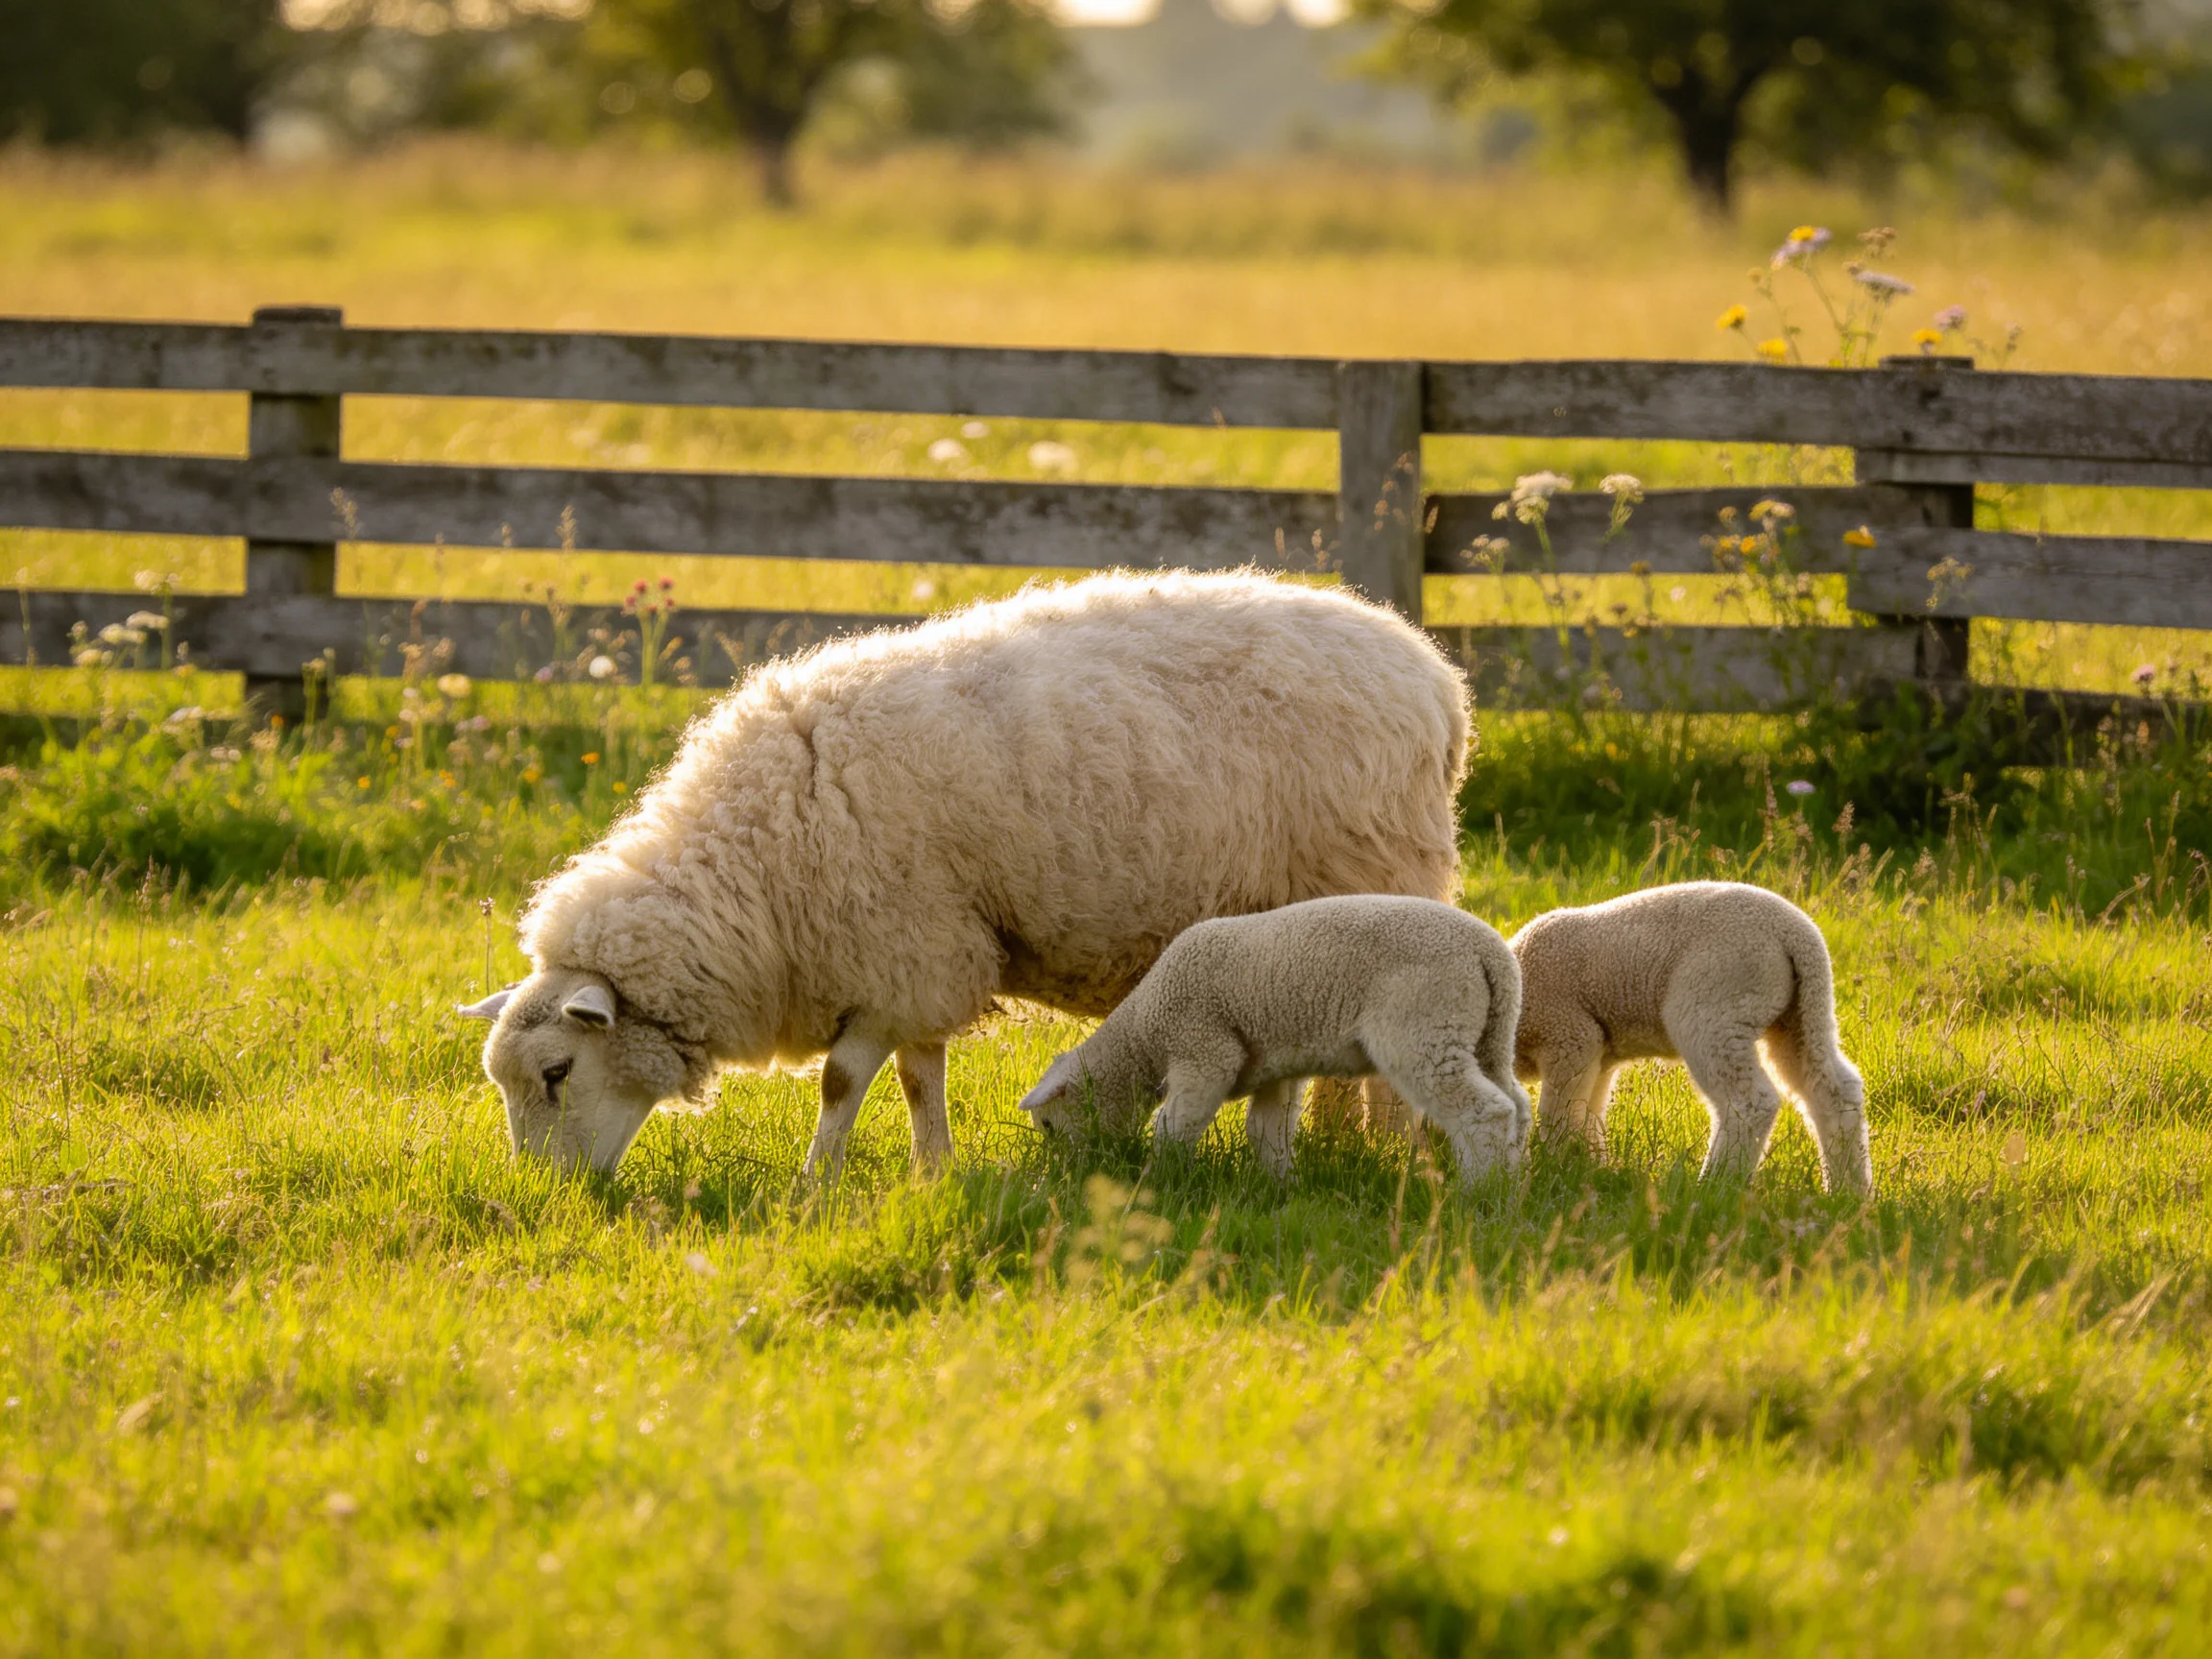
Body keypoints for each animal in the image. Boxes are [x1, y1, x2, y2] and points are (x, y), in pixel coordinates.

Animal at [460, 569, 1471, 1177]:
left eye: (556, 1072)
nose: (551, 1198)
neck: (756, 868)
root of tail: (1434, 678)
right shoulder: (917, 960)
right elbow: (918, 1077)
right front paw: (931, 1172)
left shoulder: (900, 947)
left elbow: (841, 1083)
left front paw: (816, 1184)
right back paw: (1338, 1145)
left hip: (1379, 879)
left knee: (1388, 1066)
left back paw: (1390, 1155)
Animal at [1019, 896, 1532, 1184]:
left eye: (1048, 1126)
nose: (1063, 1172)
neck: (1145, 1030)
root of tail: (1490, 952)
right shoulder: (1271, 1065)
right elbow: (1267, 1130)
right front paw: (1280, 1185)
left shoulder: (1204, 1048)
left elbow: (1176, 1123)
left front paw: (1155, 1178)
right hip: (1488, 1033)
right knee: (1517, 1103)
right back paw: (1513, 1183)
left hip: (1424, 1025)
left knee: (1484, 1111)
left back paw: (1478, 1191)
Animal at [1508, 881, 1872, 1194]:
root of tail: (1794, 933)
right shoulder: (1600, 1052)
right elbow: (1589, 1115)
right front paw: (1590, 1167)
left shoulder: (1570, 1035)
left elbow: (1558, 1115)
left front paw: (1553, 1168)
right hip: (1802, 1011)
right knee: (1835, 1091)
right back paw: (1848, 1191)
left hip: (1715, 1006)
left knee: (1750, 1102)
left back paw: (1715, 1185)